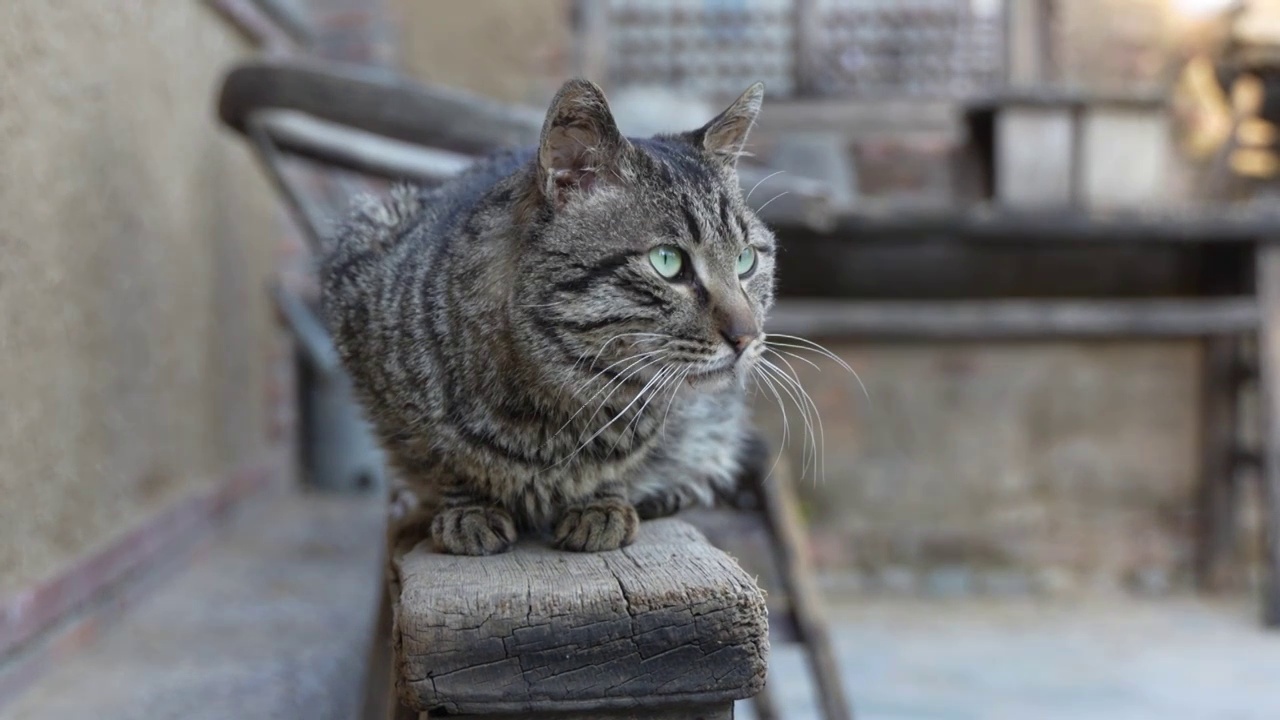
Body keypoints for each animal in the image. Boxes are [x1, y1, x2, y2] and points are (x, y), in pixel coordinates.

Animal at [320, 78, 778, 556]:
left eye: (746, 259)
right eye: (667, 261)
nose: (747, 337)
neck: (560, 405)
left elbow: (625, 465)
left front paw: (602, 502)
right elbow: (439, 456)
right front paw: (469, 509)